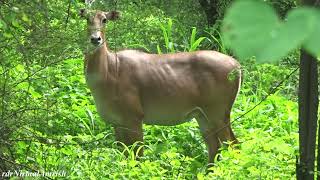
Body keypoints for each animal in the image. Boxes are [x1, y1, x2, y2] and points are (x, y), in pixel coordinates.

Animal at [79, 8, 240, 163]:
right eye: (87, 18)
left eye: (104, 19)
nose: (95, 39)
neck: (110, 73)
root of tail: (237, 66)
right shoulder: (117, 121)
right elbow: (124, 154)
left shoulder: (134, 115)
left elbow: (138, 155)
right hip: (202, 114)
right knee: (215, 146)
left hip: (218, 109)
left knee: (232, 144)